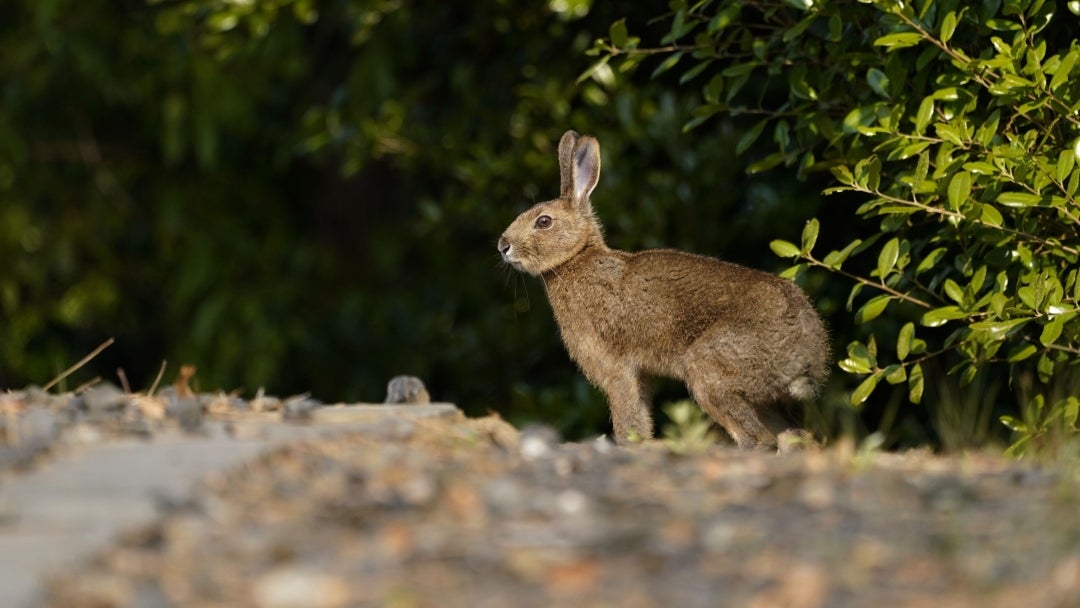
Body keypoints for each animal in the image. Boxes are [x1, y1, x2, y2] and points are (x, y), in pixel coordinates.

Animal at [494, 130, 829, 449]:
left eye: (543, 222)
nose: (503, 246)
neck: (576, 260)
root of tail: (807, 359)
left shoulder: (615, 368)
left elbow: (628, 416)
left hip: (711, 374)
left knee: (758, 438)